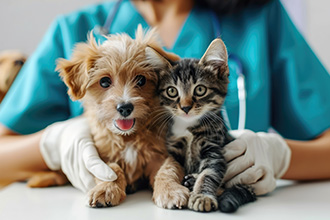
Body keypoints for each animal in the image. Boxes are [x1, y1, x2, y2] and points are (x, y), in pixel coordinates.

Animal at [55, 26, 189, 209]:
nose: (125, 107)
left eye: (141, 80)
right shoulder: (103, 155)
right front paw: (106, 189)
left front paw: (170, 191)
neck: (128, 137)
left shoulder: (161, 154)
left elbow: (167, 170)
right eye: (104, 82)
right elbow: (111, 170)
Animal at [150, 38, 258, 212]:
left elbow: (208, 173)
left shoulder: (214, 148)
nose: (185, 107)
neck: (188, 128)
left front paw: (202, 196)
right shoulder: (174, 148)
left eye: (200, 89)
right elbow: (169, 166)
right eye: (172, 91)